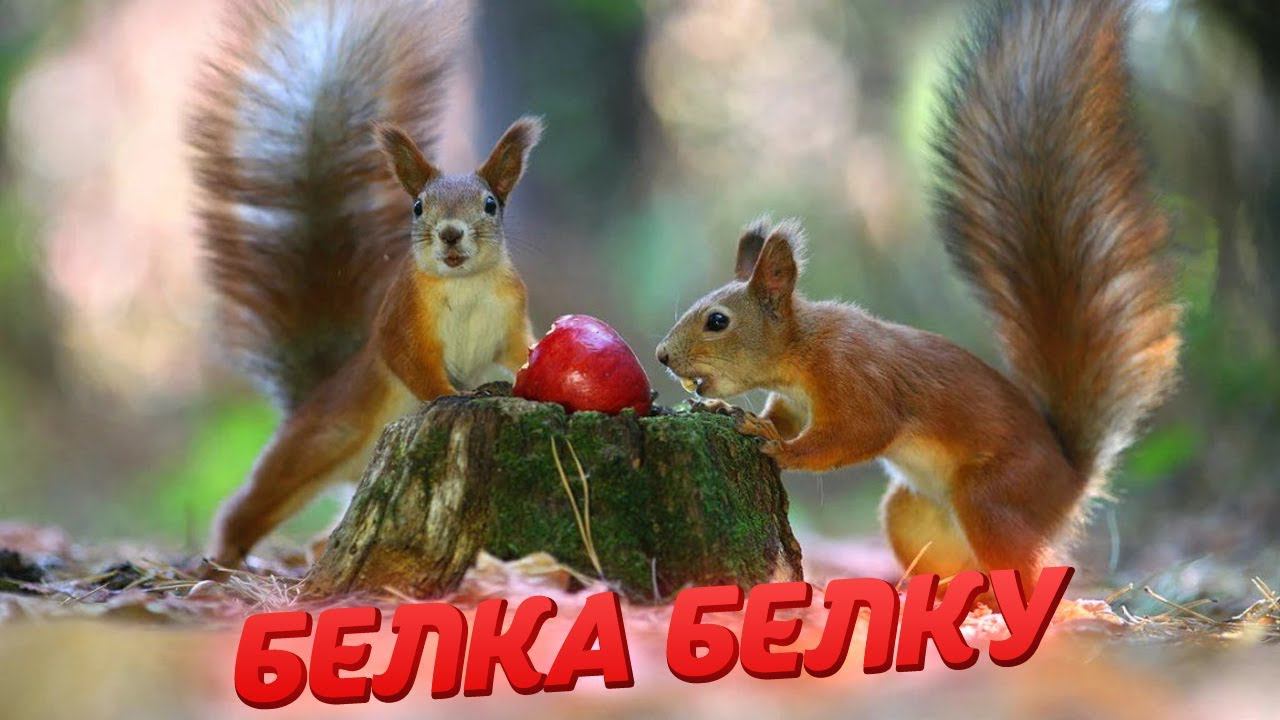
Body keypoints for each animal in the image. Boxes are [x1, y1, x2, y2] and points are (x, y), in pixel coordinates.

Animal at [190, 0, 541, 569]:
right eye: (418, 206)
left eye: (490, 204)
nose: (450, 233)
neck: (464, 284)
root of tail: (321, 391)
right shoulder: (402, 316)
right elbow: (407, 358)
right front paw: (449, 397)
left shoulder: (511, 314)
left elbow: (519, 351)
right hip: (321, 441)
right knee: (251, 504)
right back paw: (223, 563)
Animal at [655, 0, 1181, 592]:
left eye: (717, 321)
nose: (663, 356)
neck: (800, 349)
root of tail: (1069, 480)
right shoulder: (794, 397)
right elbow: (785, 415)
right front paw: (731, 409)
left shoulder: (854, 375)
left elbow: (860, 431)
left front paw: (777, 447)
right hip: (913, 513)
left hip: (995, 496)